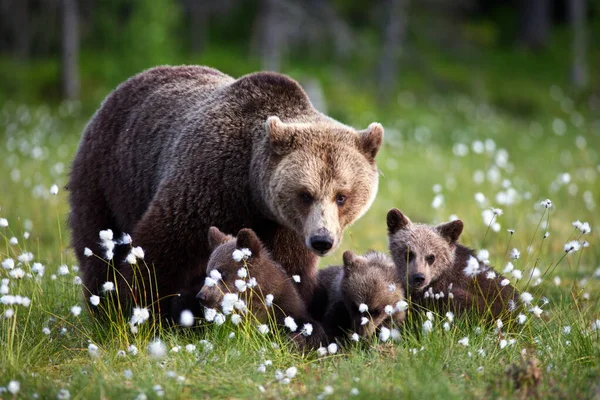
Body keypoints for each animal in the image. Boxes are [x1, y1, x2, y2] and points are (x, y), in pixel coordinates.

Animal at [68, 67, 382, 320]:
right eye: (306, 194)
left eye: (342, 196)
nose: (321, 240)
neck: (252, 192)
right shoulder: (208, 185)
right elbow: (160, 252)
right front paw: (138, 312)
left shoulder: (287, 227)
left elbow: (288, 270)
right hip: (107, 176)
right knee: (99, 245)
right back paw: (102, 307)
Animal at [196, 227, 328, 348]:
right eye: (208, 273)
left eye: (221, 273)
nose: (201, 296)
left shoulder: (287, 307)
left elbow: (311, 329)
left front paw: (293, 340)